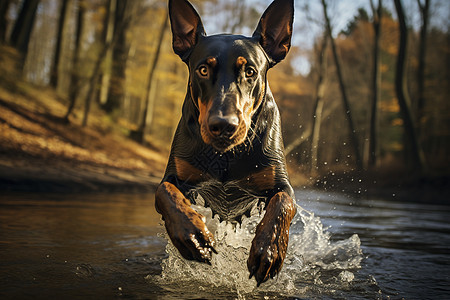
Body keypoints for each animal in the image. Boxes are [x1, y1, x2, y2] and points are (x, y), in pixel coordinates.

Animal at [156, 0, 298, 286]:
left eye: (250, 71)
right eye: (203, 69)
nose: (223, 125)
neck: (227, 156)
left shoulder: (281, 184)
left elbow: (283, 203)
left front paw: (269, 251)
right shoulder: (177, 175)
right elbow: (165, 193)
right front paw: (192, 236)